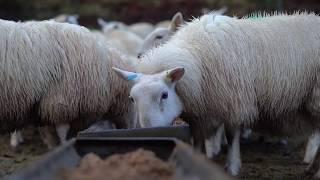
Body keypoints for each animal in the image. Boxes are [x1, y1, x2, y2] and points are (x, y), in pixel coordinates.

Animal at [114, 13, 320, 177]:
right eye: (132, 99)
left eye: (164, 95)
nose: (150, 131)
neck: (198, 57)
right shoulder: (199, 110)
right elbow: (197, 137)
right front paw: (196, 158)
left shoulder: (234, 100)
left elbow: (231, 134)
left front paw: (233, 167)